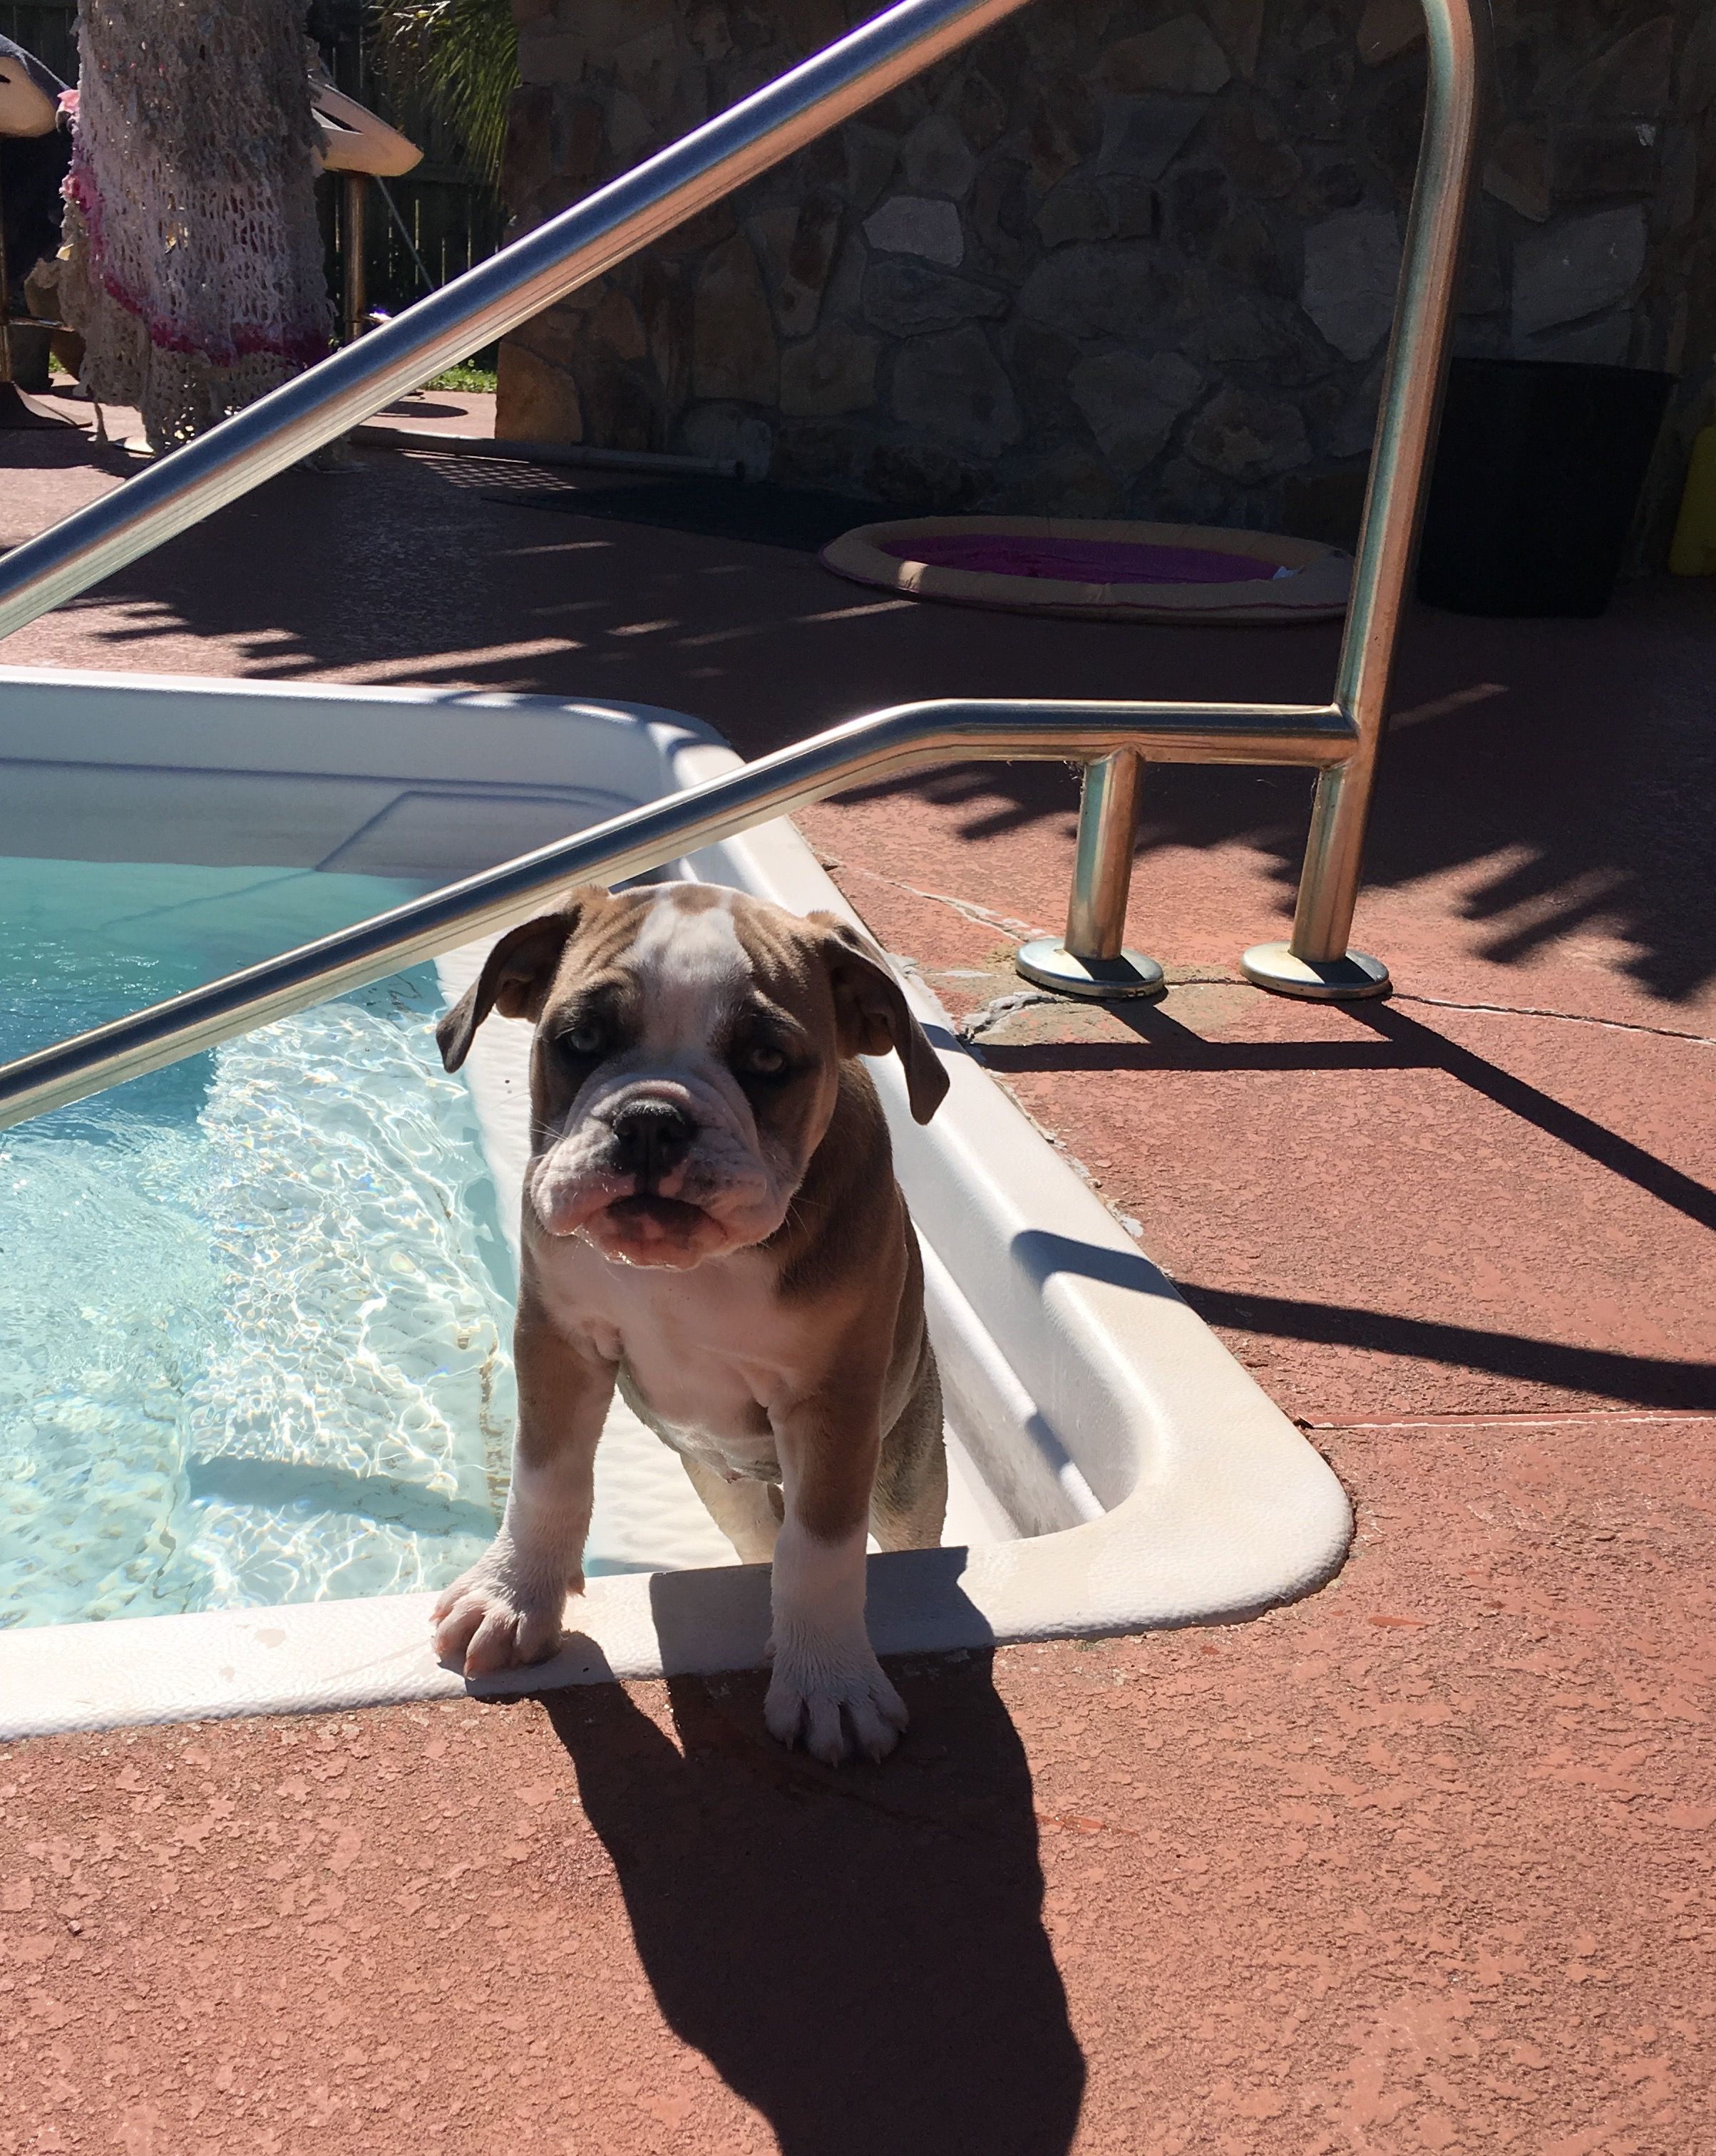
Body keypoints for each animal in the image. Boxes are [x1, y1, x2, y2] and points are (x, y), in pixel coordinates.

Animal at [429, 881, 950, 1763]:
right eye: (580, 1039)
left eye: (767, 1061)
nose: (649, 1118)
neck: (688, 1270)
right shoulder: (558, 1341)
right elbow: (546, 1480)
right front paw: (514, 1592)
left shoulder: (833, 1401)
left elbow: (821, 1551)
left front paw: (829, 1680)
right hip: (723, 1486)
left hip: (902, 1476)